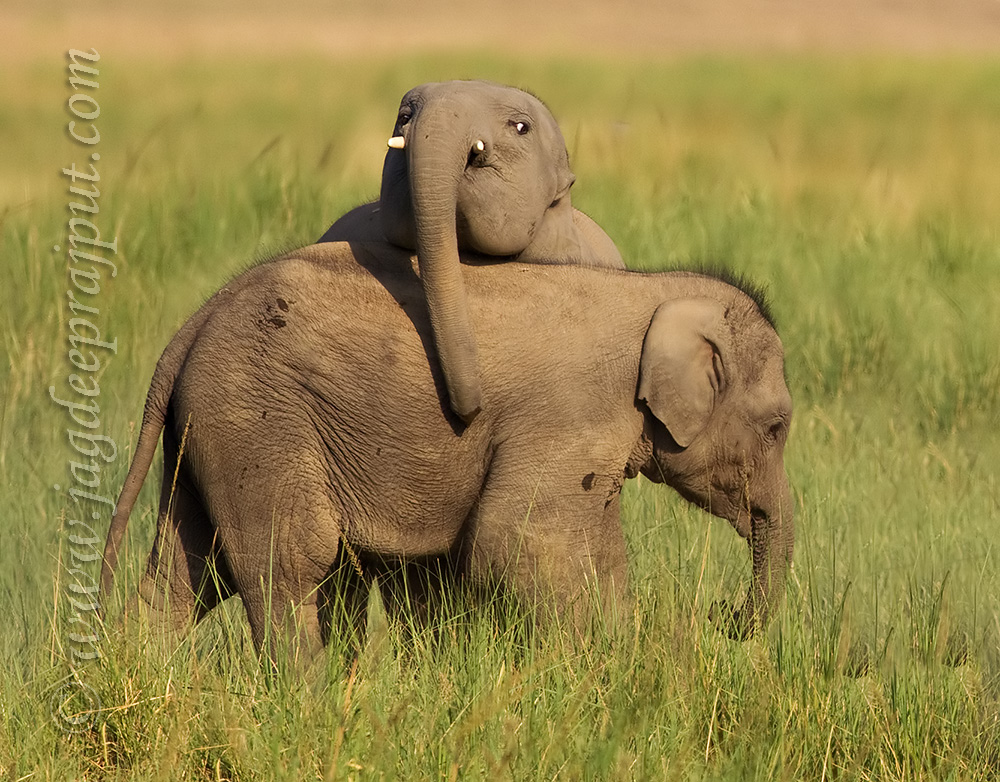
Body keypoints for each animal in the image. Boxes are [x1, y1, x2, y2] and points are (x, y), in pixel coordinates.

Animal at [100, 242, 793, 661]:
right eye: (778, 428)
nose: (724, 615)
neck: (651, 291)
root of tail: (191, 326)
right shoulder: (572, 415)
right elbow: (516, 539)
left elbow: (595, 548)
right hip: (256, 420)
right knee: (287, 567)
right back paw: (310, 705)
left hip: (209, 433)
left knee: (184, 574)